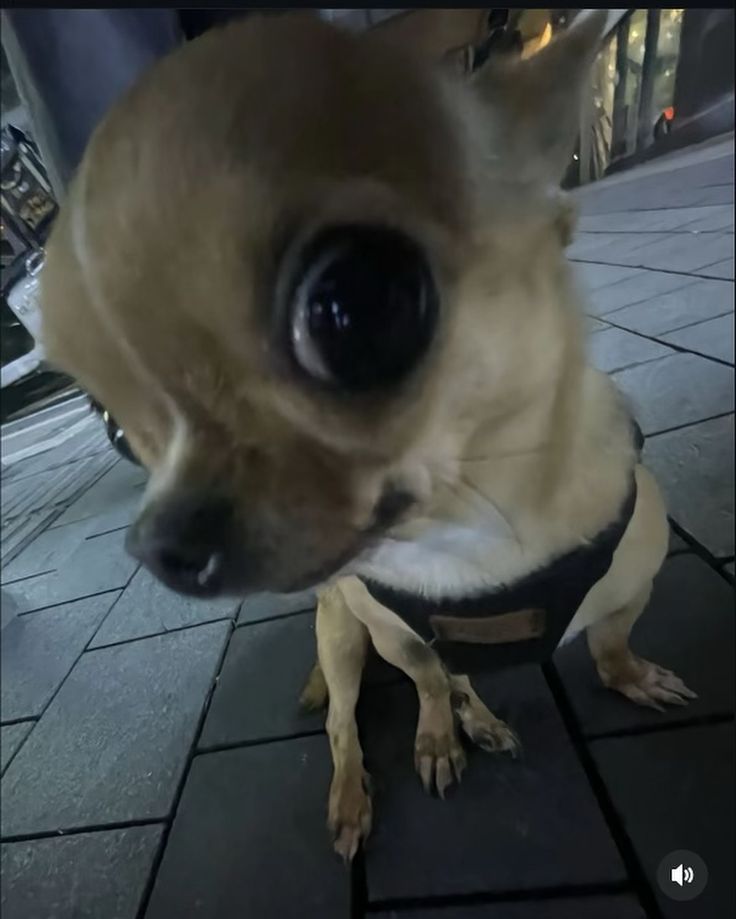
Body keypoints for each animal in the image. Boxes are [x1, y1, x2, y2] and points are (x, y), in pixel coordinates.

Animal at [40, 11, 695, 862]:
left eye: (351, 308)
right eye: (116, 428)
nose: (157, 545)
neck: (475, 542)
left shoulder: (633, 582)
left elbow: (610, 642)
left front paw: (630, 675)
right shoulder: (395, 631)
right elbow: (426, 675)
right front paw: (437, 732)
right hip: (343, 639)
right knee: (345, 723)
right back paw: (368, 783)